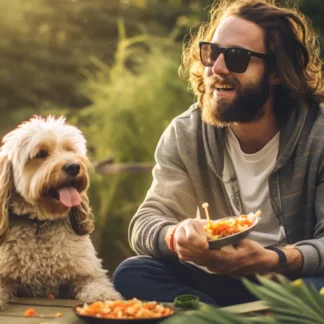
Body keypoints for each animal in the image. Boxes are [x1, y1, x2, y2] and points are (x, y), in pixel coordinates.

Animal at [0, 116, 123, 308]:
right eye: (41, 153)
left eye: (69, 150)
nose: (74, 167)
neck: (40, 223)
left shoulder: (87, 274)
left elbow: (97, 285)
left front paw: (104, 298)